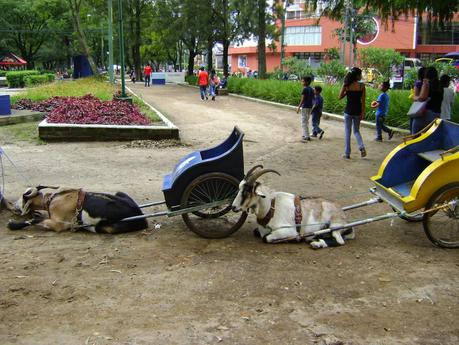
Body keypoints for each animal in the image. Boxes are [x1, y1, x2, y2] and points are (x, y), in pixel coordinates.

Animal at [7, 185, 148, 234]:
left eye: (22, 196)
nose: (13, 205)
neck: (52, 200)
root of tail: (139, 214)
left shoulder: (58, 224)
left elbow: (34, 221)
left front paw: (12, 225)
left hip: (106, 227)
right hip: (119, 192)